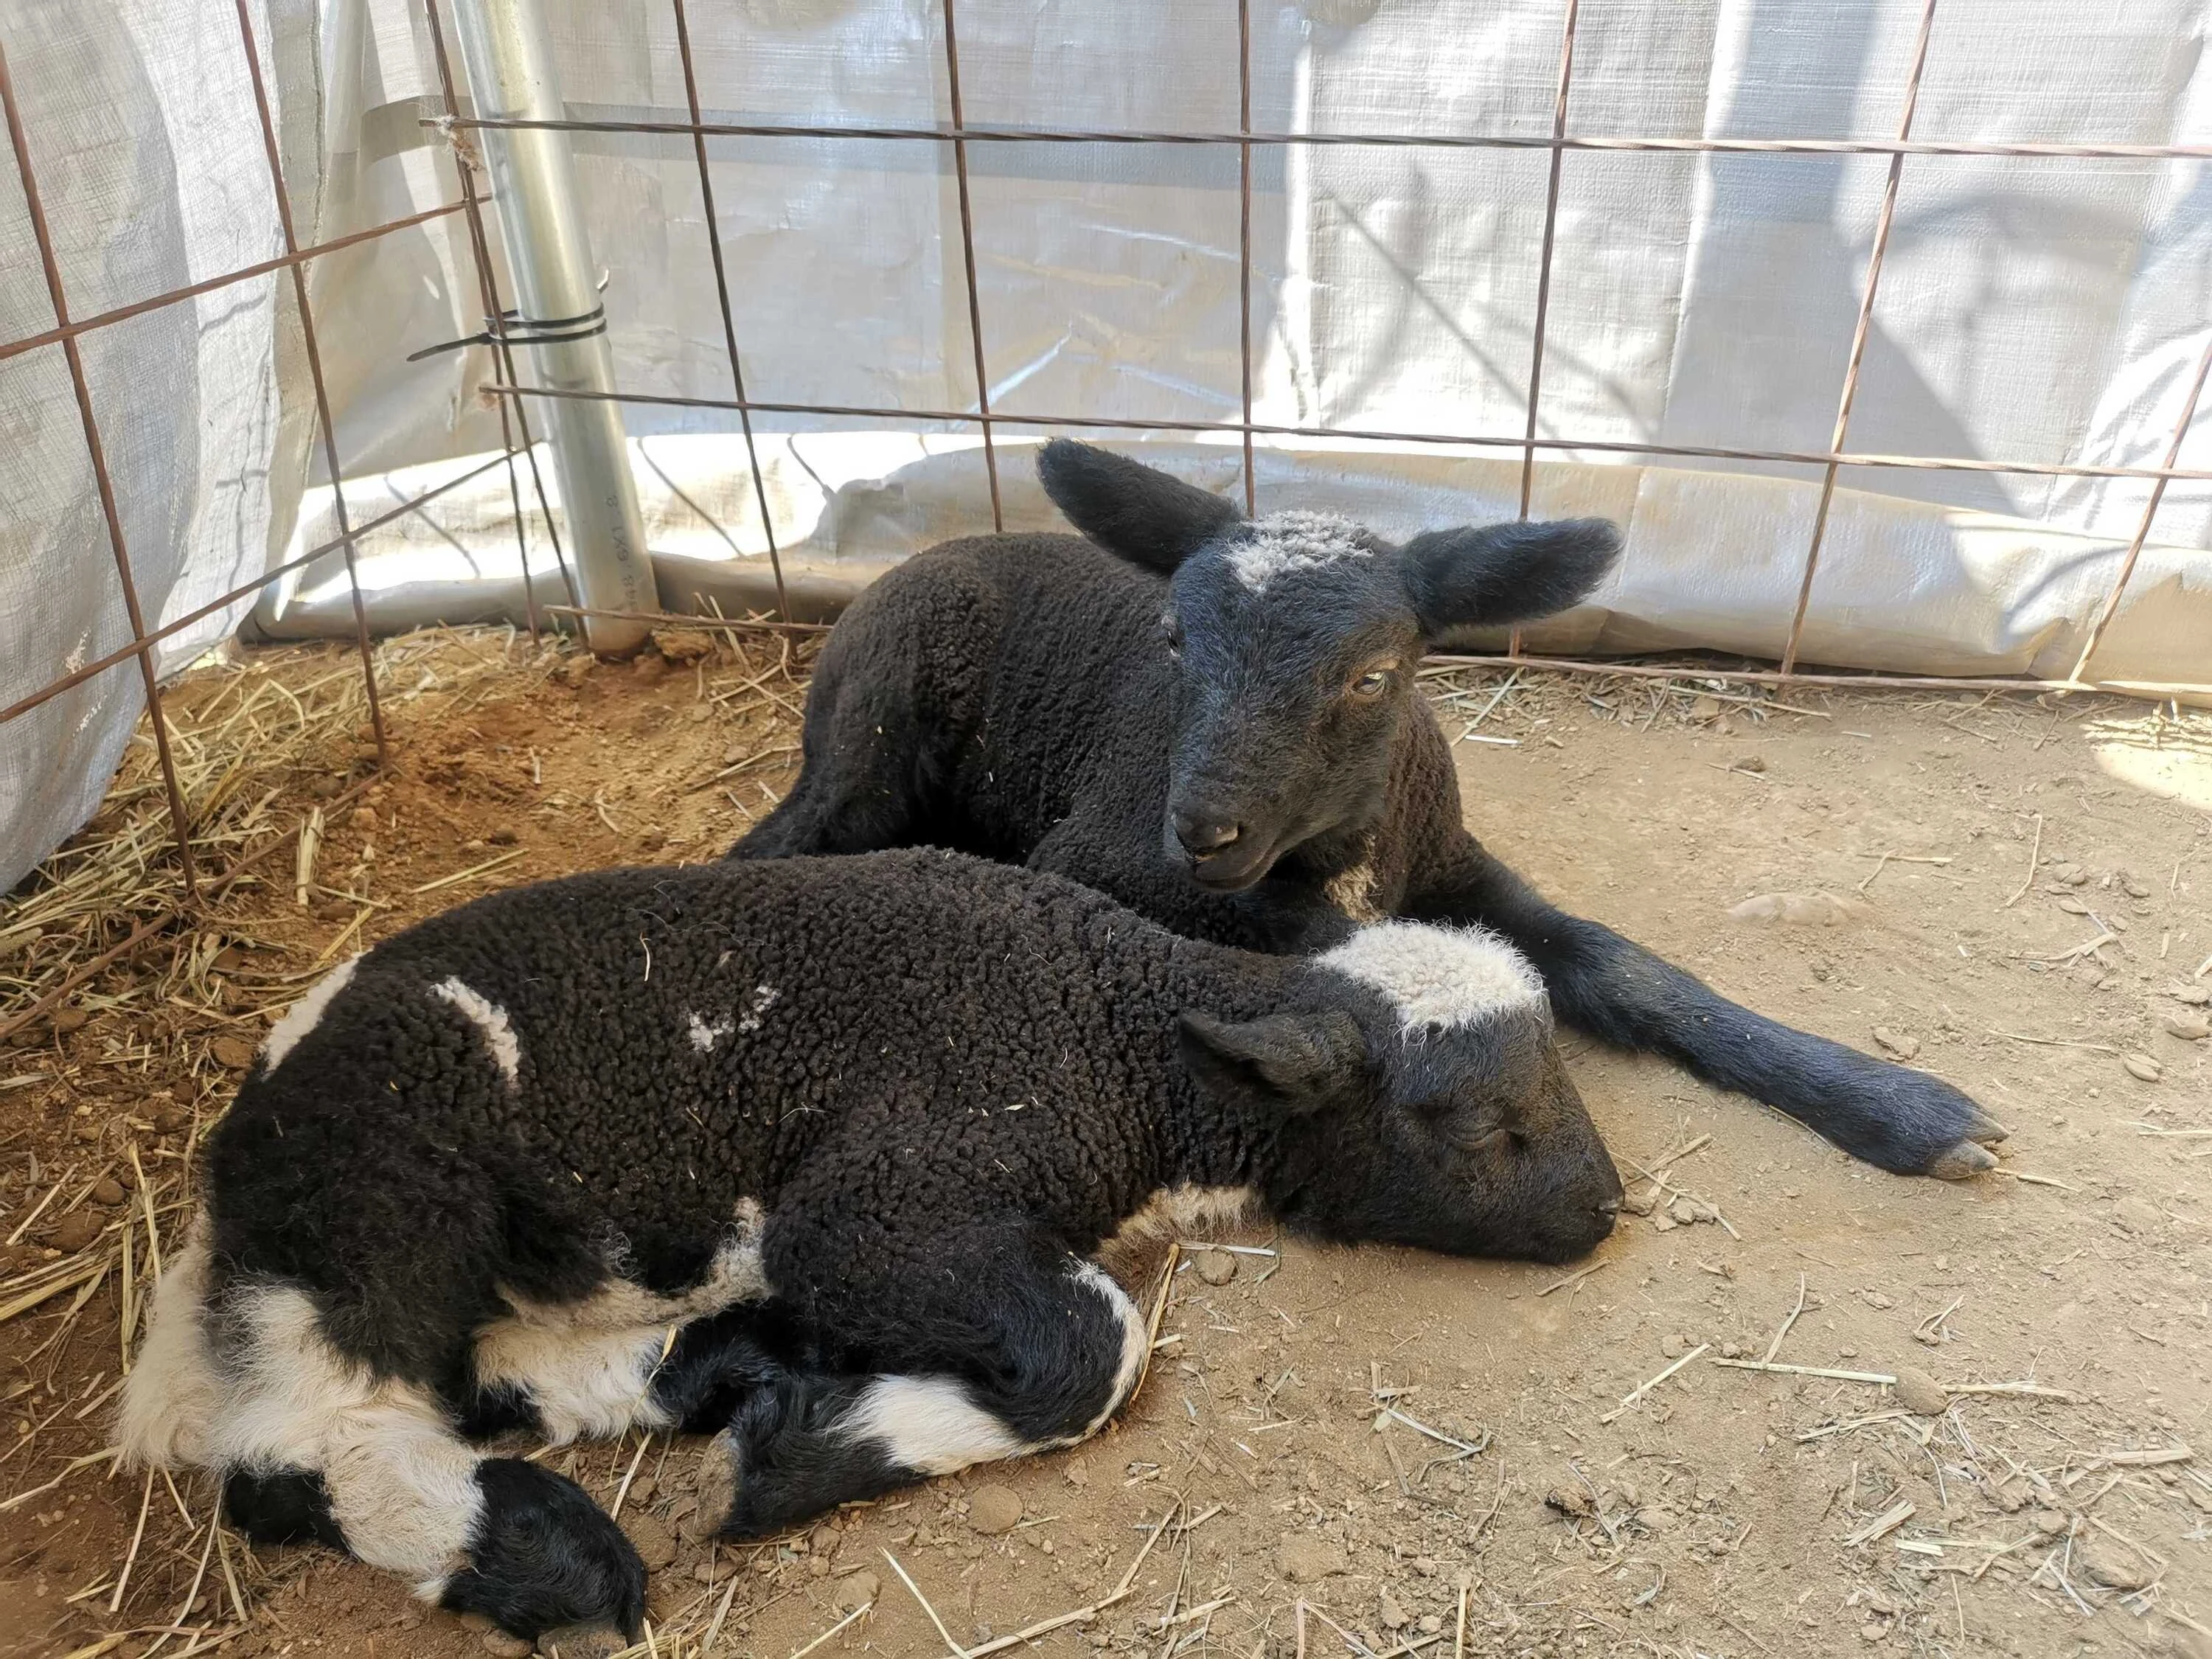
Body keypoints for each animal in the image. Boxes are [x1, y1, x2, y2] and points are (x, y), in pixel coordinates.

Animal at [121, 846, 1620, 1652]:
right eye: (1478, 1123)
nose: (1606, 1208)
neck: (1122, 1034)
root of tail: (233, 1167)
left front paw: (786, 1417)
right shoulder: (877, 1202)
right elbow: (1094, 1347)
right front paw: (802, 1462)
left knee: (484, 1371)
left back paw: (713, 1367)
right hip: (387, 1196)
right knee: (304, 1449)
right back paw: (550, 1556)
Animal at [730, 439, 2007, 1180]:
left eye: (1373, 676)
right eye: (1174, 641)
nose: (1203, 828)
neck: (1339, 842)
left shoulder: (1454, 857)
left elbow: (1621, 964)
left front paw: (1895, 1106)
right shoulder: (1100, 850)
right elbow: (1358, 942)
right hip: (875, 730)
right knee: (785, 838)